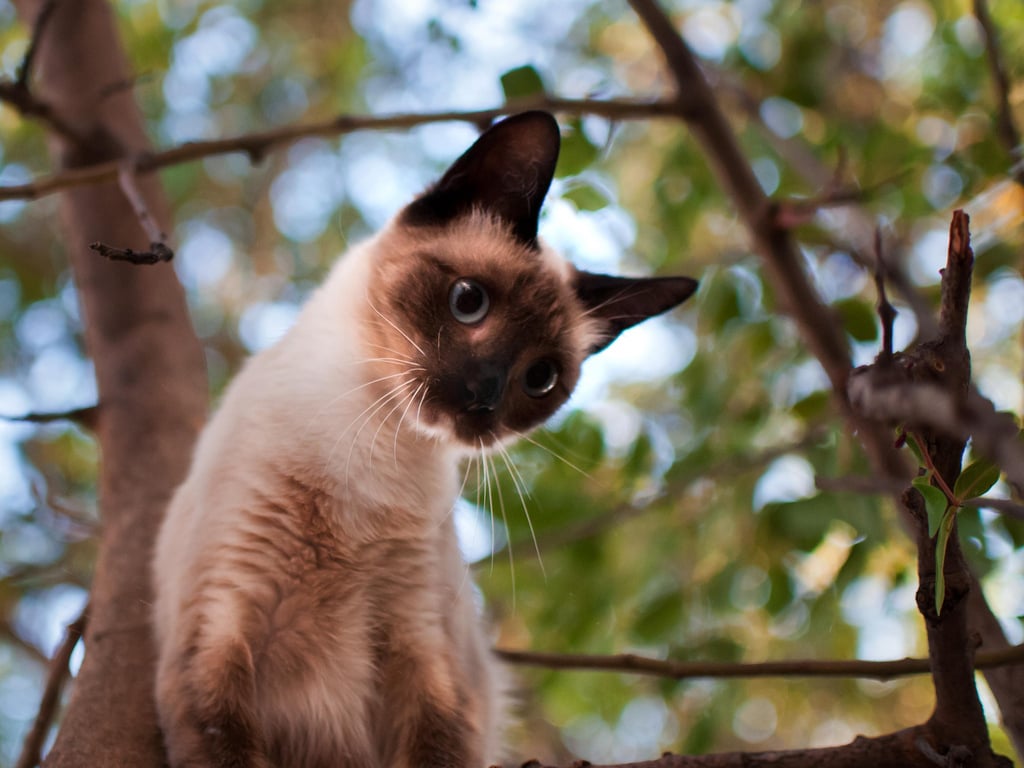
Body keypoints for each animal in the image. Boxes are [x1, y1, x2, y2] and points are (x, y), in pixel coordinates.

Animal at [149, 109, 696, 768]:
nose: (482, 395)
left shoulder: (424, 654)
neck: (372, 443)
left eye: (540, 378)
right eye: (468, 301)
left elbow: (438, 745)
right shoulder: (219, 639)